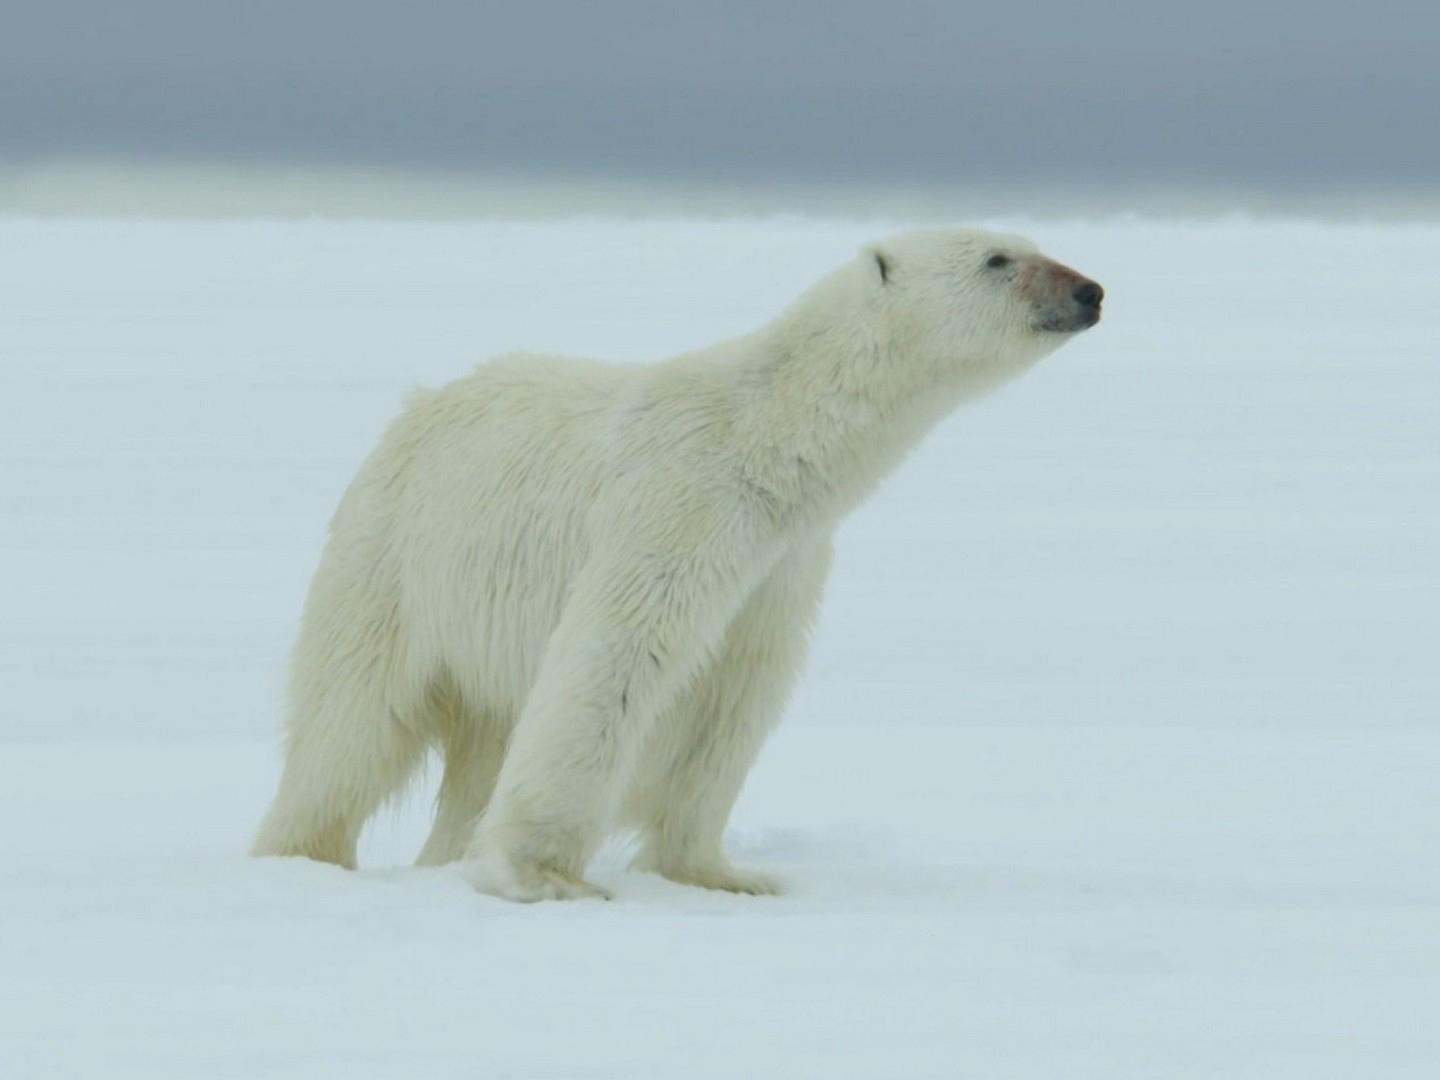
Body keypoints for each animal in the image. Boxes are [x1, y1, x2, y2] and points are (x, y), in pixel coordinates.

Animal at [253, 230, 1100, 904]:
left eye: (1030, 242)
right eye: (999, 258)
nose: (1091, 290)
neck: (770, 443)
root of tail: (416, 408)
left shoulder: (782, 562)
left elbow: (733, 699)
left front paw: (724, 874)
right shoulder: (680, 503)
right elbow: (616, 658)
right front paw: (543, 876)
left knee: (481, 744)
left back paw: (444, 854)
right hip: (396, 553)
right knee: (351, 722)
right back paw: (302, 853)